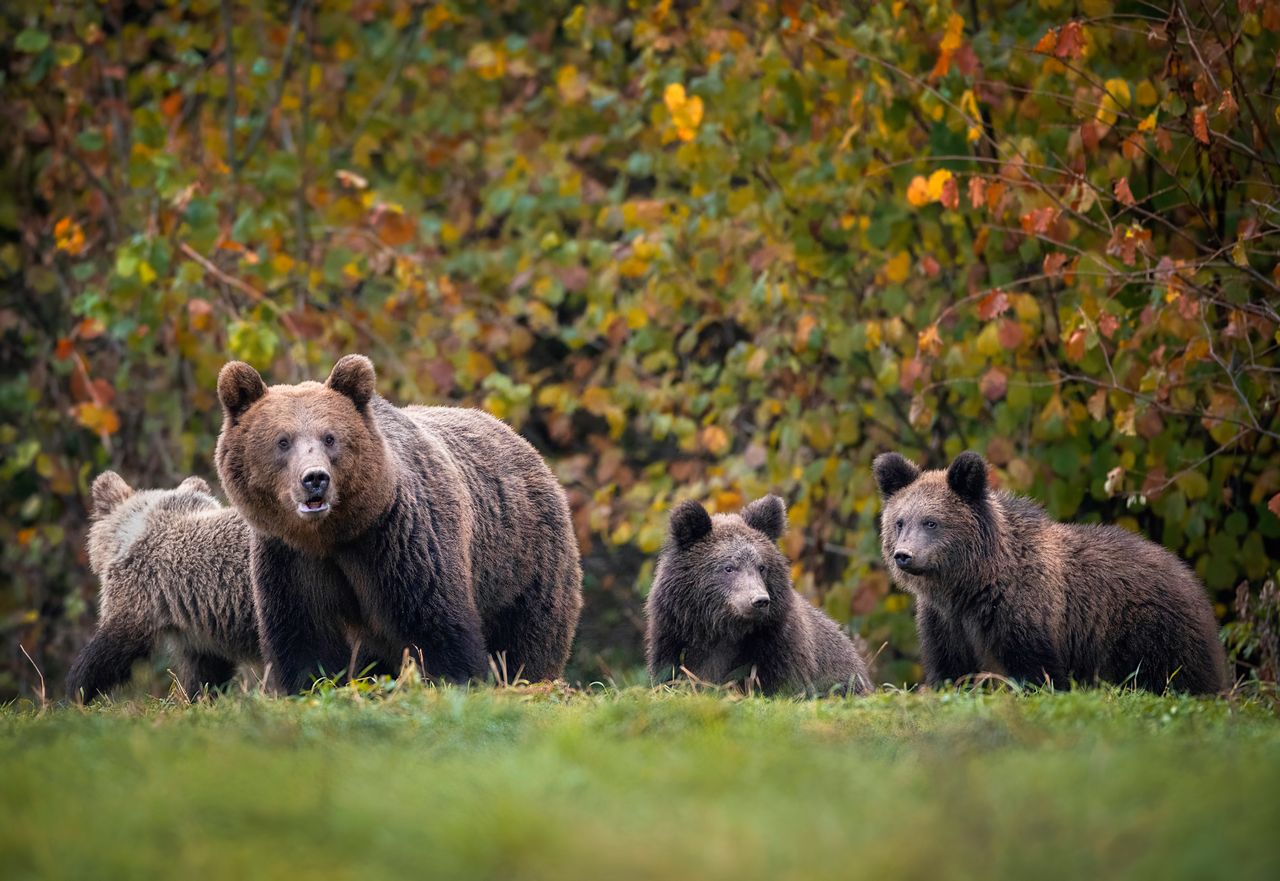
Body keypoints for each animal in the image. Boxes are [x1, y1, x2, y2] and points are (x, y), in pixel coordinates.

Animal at [216, 353, 586, 691]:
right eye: (283, 441)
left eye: (330, 437)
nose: (315, 479)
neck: (333, 535)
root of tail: (519, 439)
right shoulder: (291, 558)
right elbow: (306, 635)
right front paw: (313, 684)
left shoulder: (400, 540)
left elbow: (436, 621)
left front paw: (458, 680)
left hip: (522, 561)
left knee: (527, 634)